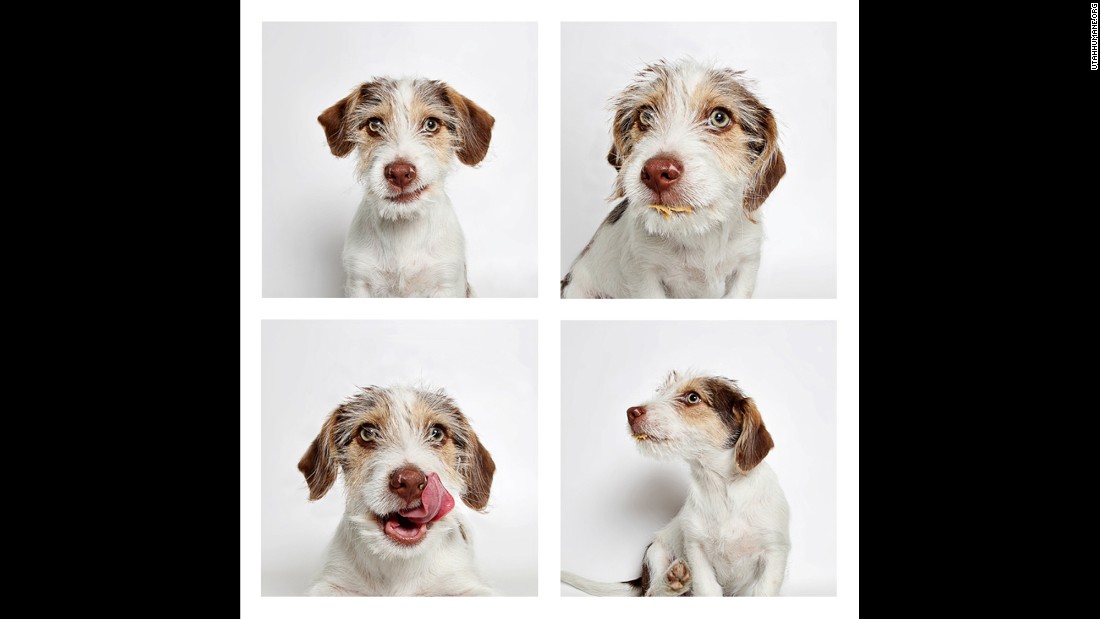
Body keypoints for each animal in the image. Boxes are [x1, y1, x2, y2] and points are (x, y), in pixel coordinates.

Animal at [316, 77, 492, 296]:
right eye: (374, 124)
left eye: (431, 124)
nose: (399, 173)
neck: (403, 227)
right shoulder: (359, 281)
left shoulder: (447, 282)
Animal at [558, 371, 792, 598]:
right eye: (662, 390)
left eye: (693, 397)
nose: (631, 412)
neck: (720, 487)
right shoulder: (696, 549)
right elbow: (708, 589)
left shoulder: (774, 551)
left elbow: (765, 590)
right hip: (656, 552)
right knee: (650, 593)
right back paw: (671, 583)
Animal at [563, 59, 787, 299]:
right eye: (646, 116)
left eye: (719, 118)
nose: (656, 172)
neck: (697, 231)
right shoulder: (644, 271)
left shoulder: (747, 262)